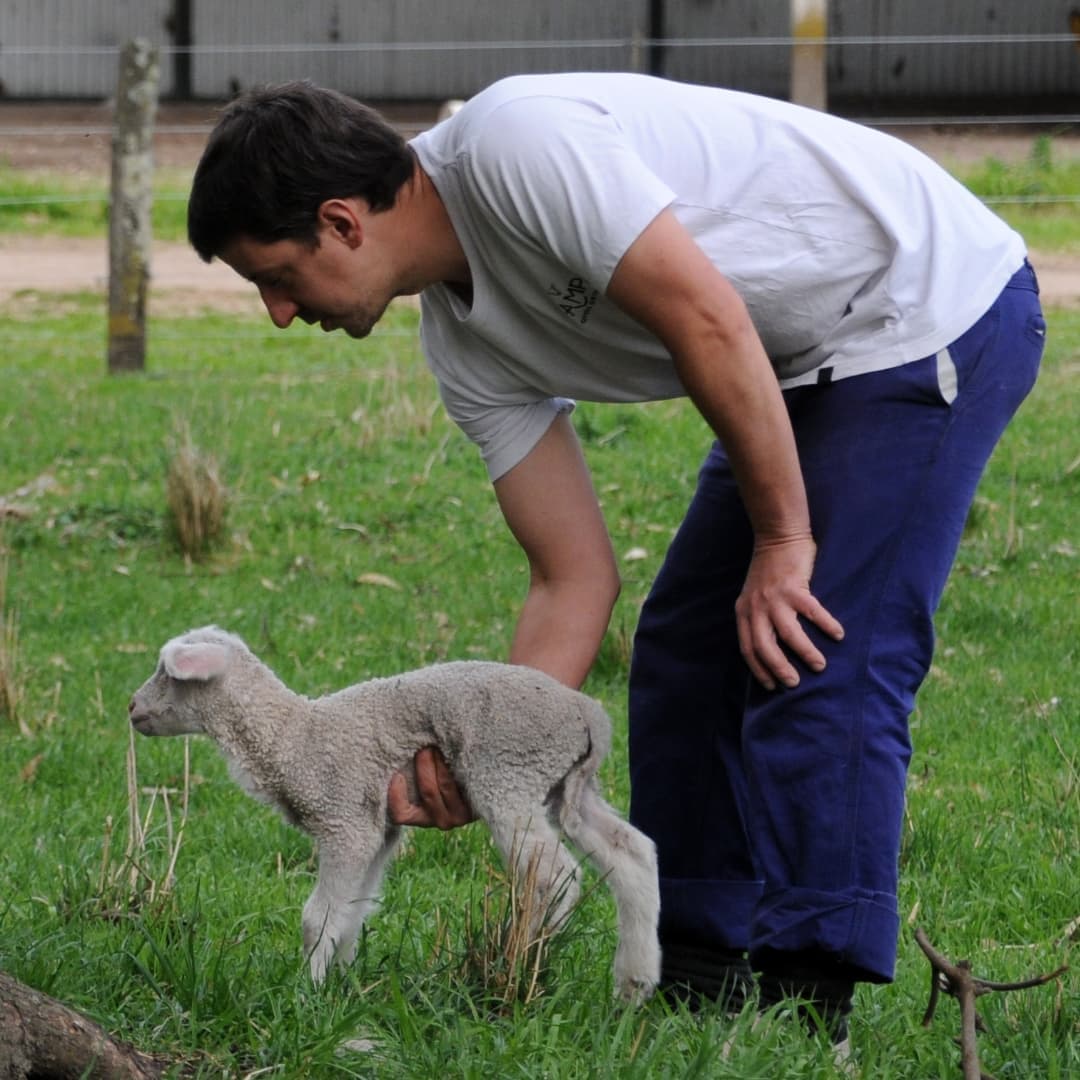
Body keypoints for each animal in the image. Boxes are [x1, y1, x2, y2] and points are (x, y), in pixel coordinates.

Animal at [128, 626, 661, 1002]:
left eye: (166, 671)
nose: (131, 707)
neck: (292, 736)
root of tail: (589, 713)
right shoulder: (377, 829)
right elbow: (352, 913)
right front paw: (340, 985)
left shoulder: (343, 820)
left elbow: (318, 917)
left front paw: (306, 992)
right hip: (567, 785)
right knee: (633, 853)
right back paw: (633, 984)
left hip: (508, 773)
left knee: (556, 874)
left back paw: (519, 963)